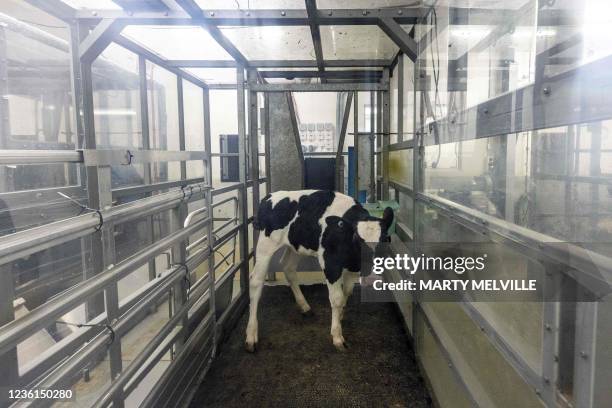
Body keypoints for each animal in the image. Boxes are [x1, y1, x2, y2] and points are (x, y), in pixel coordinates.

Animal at [246, 190, 394, 352]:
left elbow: (347, 292)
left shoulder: (352, 267)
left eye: (386, 239)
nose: (373, 279)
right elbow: (336, 298)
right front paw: (337, 336)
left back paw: (304, 306)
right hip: (266, 245)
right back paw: (251, 335)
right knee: (255, 281)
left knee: (288, 268)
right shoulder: (330, 264)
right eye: (357, 239)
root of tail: (270, 196)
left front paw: (340, 316)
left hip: (294, 245)